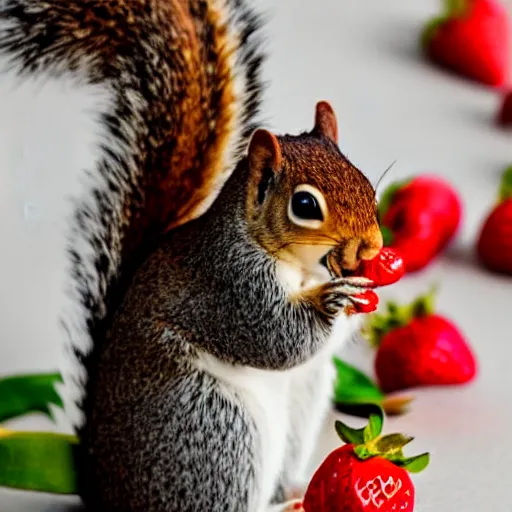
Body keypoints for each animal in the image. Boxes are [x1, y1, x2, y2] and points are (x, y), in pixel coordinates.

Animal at [0, 1, 384, 512]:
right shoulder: (229, 284)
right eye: (305, 205)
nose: (373, 247)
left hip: (301, 397)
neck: (302, 269)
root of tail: (106, 493)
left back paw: (295, 493)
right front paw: (333, 301)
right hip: (211, 427)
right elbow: (275, 338)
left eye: (365, 183)